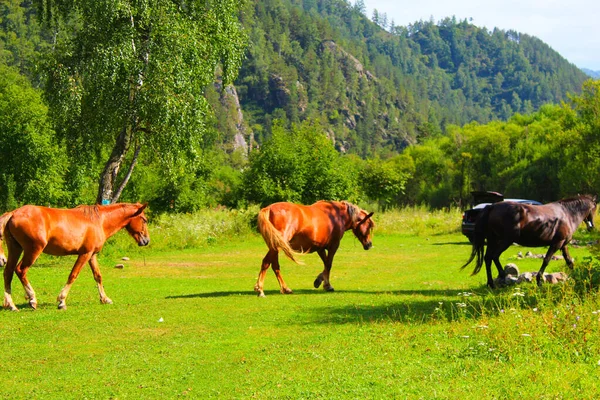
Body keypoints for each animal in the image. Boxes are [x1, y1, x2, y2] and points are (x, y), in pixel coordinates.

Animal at [0, 202, 149, 310]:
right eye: (144, 220)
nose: (146, 241)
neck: (99, 221)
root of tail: (13, 213)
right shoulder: (84, 254)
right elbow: (73, 275)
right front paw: (61, 301)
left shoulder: (92, 255)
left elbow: (98, 276)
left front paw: (105, 298)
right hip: (33, 251)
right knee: (20, 270)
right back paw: (32, 299)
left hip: (15, 249)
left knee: (8, 272)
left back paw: (11, 305)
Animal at [460, 194, 596, 288]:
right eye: (594, 208)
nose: (591, 226)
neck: (567, 214)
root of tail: (491, 207)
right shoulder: (556, 243)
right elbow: (546, 260)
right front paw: (539, 280)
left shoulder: (562, 244)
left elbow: (569, 261)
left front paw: (575, 276)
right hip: (505, 241)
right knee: (494, 256)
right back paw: (502, 276)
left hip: (493, 240)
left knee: (488, 258)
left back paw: (491, 284)